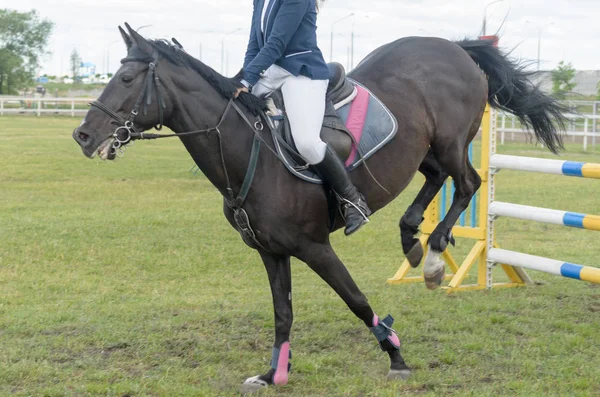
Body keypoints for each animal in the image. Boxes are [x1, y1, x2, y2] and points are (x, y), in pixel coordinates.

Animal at [72, 23, 564, 392]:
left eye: (127, 80)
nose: (83, 135)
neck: (250, 151)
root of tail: (454, 48)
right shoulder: (271, 252)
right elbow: (283, 313)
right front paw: (274, 372)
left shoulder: (315, 248)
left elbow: (356, 299)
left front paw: (395, 353)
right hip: (423, 150)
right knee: (436, 179)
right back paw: (411, 238)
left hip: (450, 142)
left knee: (467, 183)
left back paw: (435, 256)